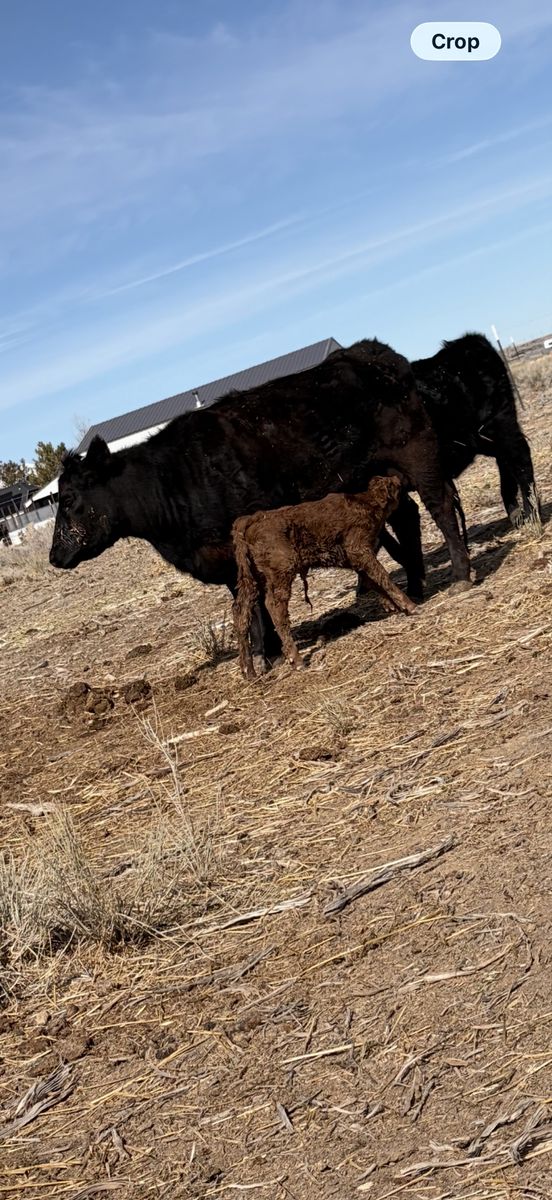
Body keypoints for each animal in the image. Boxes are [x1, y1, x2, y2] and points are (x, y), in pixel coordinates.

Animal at [232, 476, 417, 678]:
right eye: (398, 486)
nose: (402, 481)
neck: (366, 502)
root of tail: (250, 520)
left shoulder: (355, 561)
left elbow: (375, 581)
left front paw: (393, 606)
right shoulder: (359, 550)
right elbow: (383, 576)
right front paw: (409, 606)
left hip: (251, 581)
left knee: (241, 614)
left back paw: (248, 671)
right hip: (281, 573)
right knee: (275, 606)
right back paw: (296, 661)